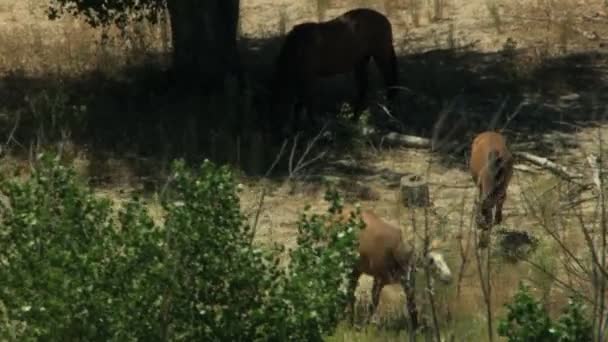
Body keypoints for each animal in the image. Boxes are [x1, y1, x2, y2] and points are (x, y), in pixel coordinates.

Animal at [270, 8, 400, 136]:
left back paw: (389, 112)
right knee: (363, 87)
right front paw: (299, 128)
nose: (275, 132)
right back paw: (354, 118)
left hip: (380, 55)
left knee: (390, 82)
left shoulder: (308, 77)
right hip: (362, 61)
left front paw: (312, 127)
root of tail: (385, 19)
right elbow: (300, 103)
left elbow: (305, 103)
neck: (296, 49)